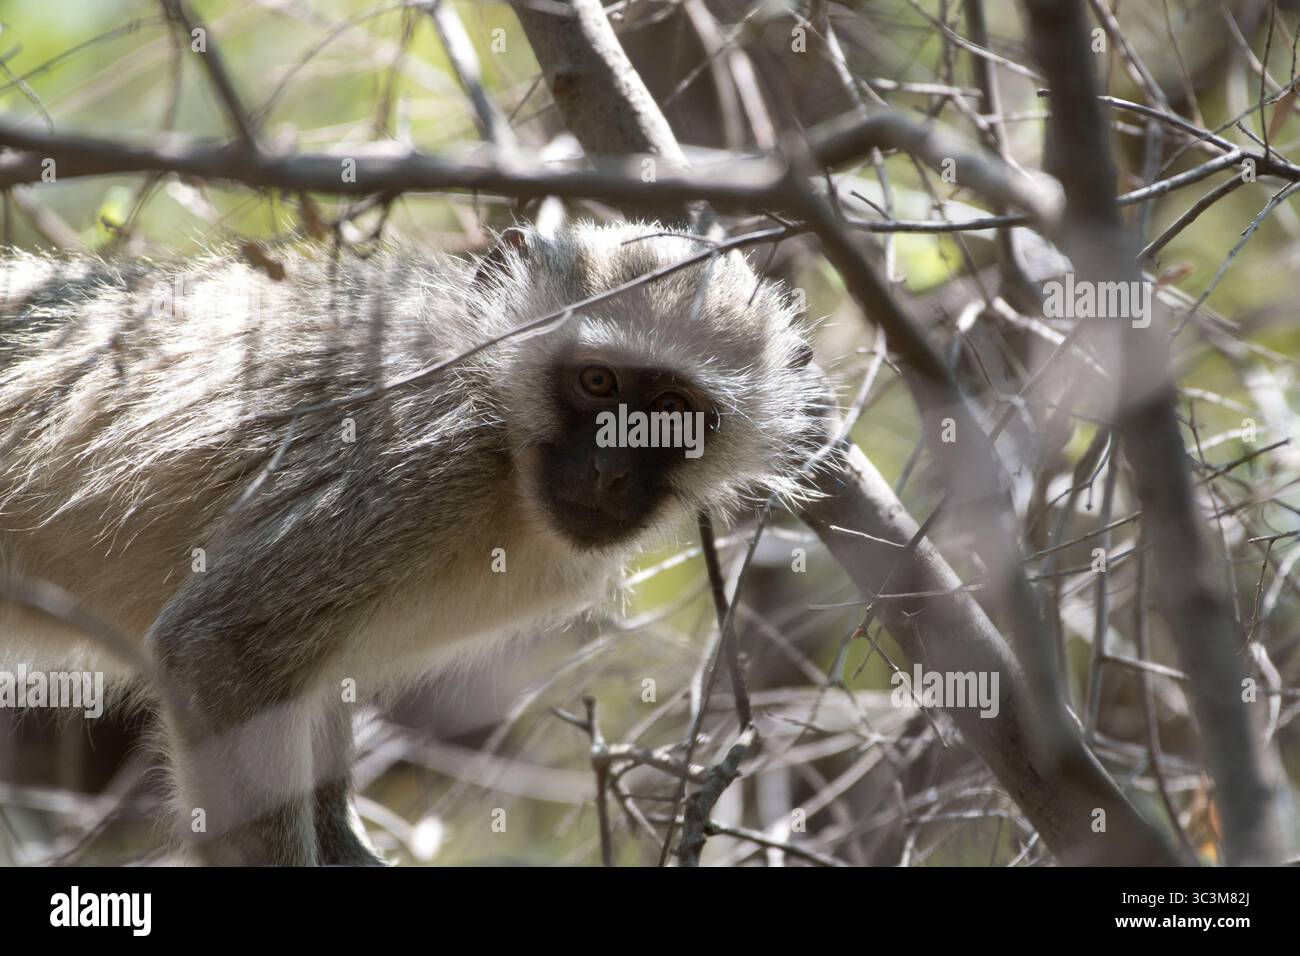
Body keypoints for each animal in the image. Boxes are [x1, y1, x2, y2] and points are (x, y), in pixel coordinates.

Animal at [0, 221, 827, 865]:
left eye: (671, 408)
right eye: (597, 382)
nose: (609, 469)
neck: (503, 442)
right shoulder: (421, 465)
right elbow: (219, 646)